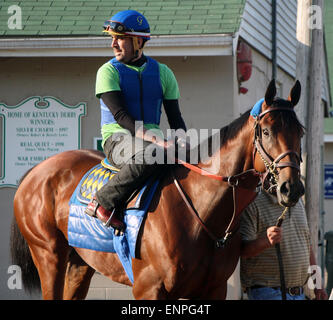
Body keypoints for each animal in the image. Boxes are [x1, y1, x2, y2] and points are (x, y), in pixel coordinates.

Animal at [9, 80, 304, 300]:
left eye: (299, 132)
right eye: (266, 132)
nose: (292, 188)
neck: (201, 211)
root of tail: (37, 170)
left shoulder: (214, 289)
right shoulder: (149, 289)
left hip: (79, 263)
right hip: (48, 255)